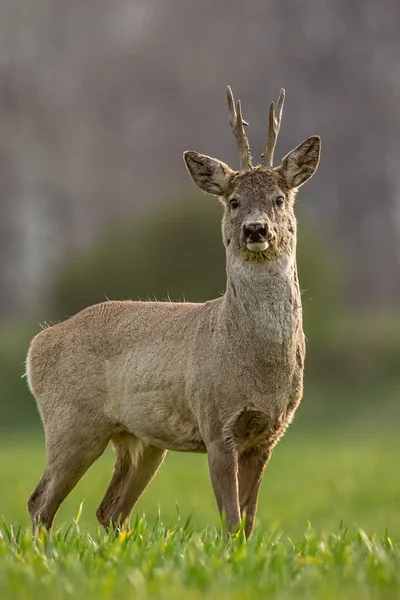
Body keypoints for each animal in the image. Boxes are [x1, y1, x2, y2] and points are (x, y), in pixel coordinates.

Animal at [26, 85, 320, 540]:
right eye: (233, 201)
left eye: (279, 198)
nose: (256, 229)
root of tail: (37, 343)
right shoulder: (216, 423)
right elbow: (230, 519)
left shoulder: (269, 433)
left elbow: (249, 520)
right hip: (70, 422)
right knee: (40, 502)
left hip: (141, 440)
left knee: (110, 509)